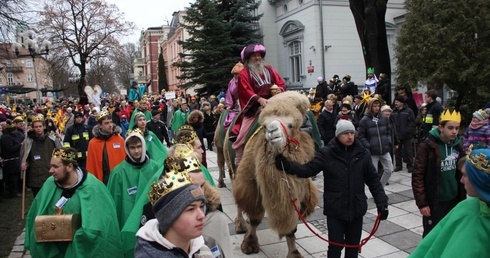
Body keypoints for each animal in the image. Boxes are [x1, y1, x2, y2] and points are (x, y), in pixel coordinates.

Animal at [233, 90, 320, 256]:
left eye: (291, 125)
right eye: (264, 126)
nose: (273, 131)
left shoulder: (299, 189)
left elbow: (292, 226)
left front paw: (294, 253)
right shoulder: (252, 185)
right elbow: (255, 218)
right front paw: (249, 244)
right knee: (239, 201)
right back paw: (240, 225)